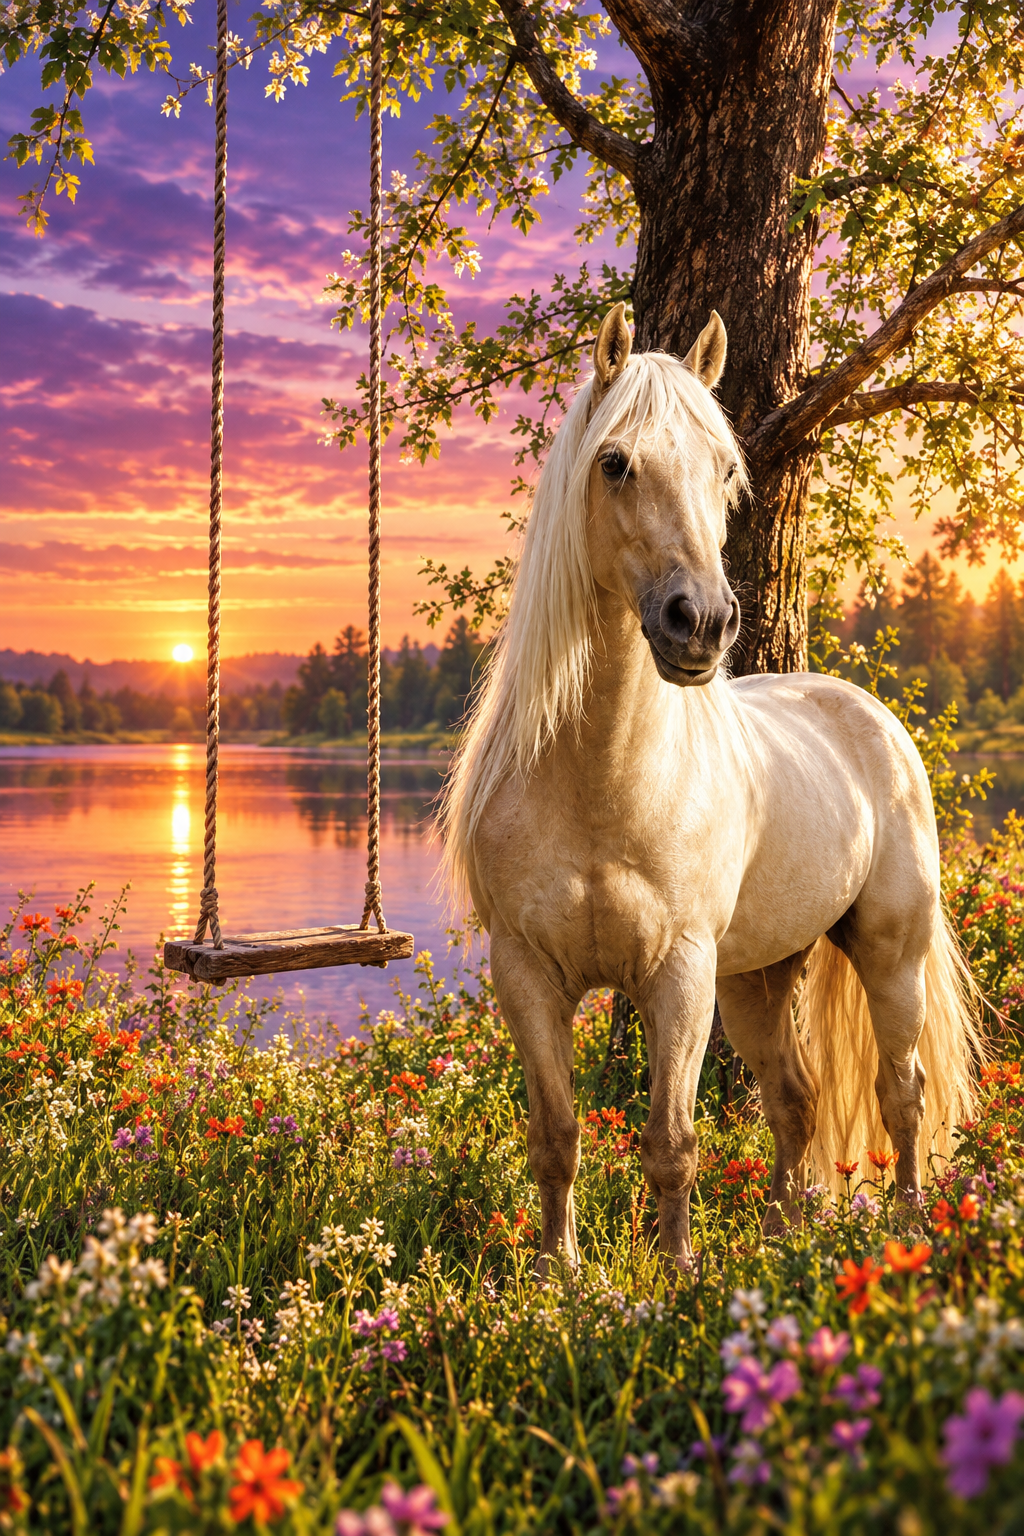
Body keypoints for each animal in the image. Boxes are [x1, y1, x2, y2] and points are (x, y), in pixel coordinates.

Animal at [441, 302, 983, 1269]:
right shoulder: (527, 975)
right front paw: (556, 1272)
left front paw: (676, 1273)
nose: (702, 623)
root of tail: (870, 717)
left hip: (889, 953)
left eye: (726, 471)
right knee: (797, 1099)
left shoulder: (681, 974)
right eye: (615, 462)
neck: (601, 781)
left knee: (903, 1092)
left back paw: (908, 1230)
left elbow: (672, 1142)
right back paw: (781, 1236)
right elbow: (556, 1135)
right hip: (760, 978)